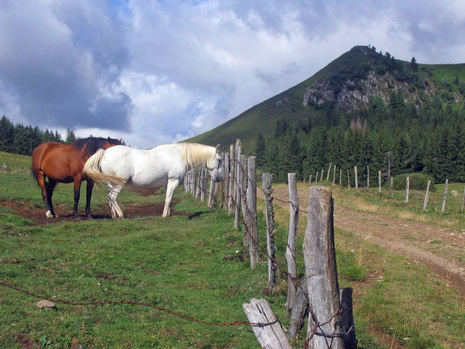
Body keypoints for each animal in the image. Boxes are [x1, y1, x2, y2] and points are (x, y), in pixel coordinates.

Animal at [82, 143, 222, 216]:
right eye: (220, 160)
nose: (219, 178)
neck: (178, 155)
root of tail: (104, 152)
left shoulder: (169, 183)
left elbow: (170, 199)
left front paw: (168, 213)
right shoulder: (173, 181)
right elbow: (168, 199)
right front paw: (164, 215)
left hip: (111, 182)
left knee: (110, 198)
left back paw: (114, 215)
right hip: (119, 183)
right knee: (112, 197)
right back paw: (121, 215)